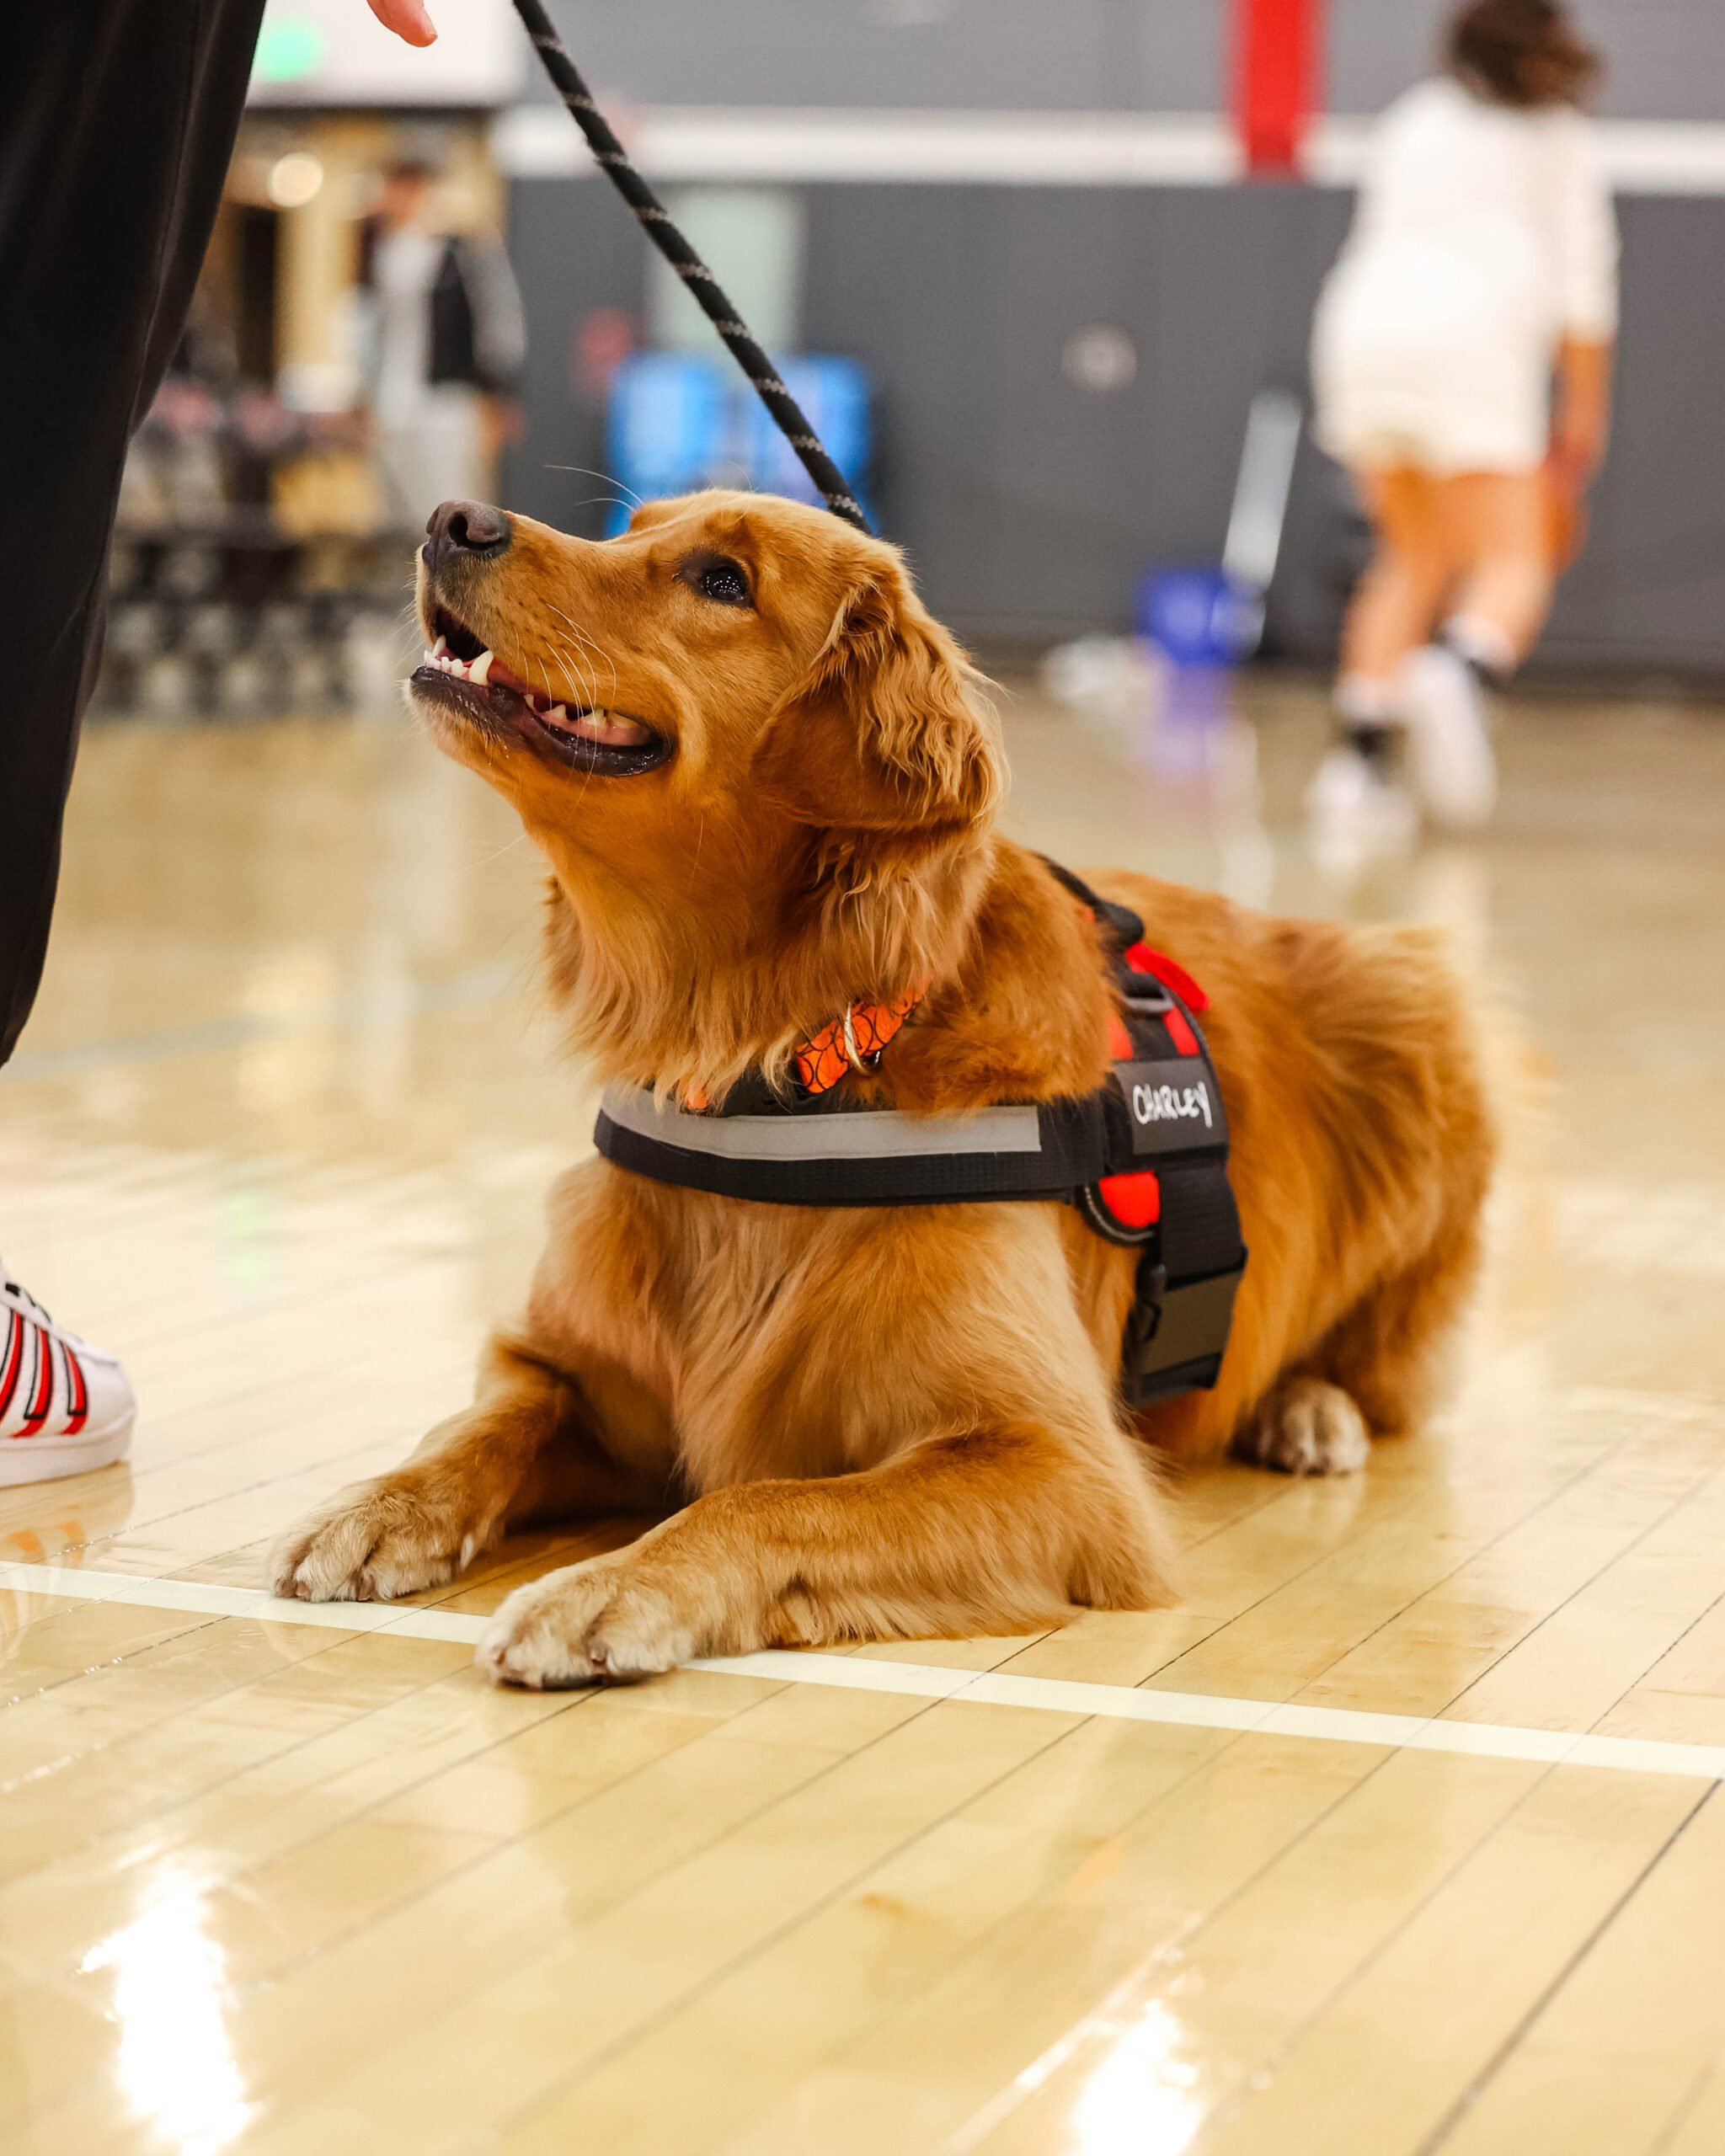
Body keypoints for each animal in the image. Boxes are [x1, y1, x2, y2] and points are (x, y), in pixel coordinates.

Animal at [270, 494, 1492, 1681]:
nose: (452, 520)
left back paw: (1308, 1408)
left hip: (1423, 1016)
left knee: (1381, 1373)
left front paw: (610, 1587)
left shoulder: (1062, 1465)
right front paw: (380, 1507)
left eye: (723, 579)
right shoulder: (567, 1369)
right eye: (630, 528)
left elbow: (770, 1500)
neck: (771, 1068)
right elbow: (484, 1425)